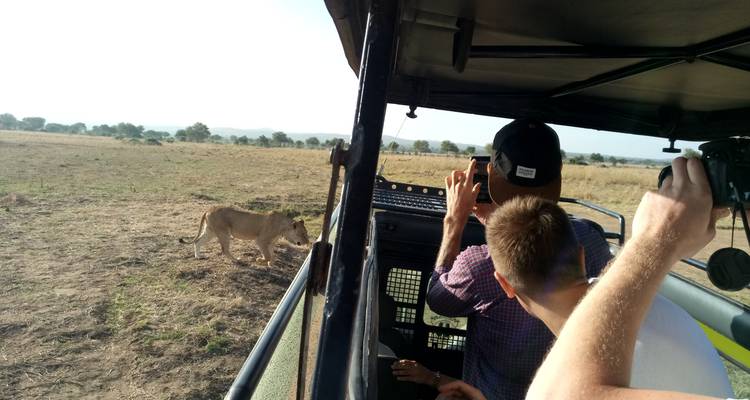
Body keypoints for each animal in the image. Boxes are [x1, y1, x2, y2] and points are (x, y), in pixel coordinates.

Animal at [179, 206, 309, 266]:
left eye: (306, 233)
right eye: (302, 234)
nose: (307, 242)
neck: (283, 228)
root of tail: (209, 209)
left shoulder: (271, 243)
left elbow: (272, 255)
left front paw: (270, 264)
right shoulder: (261, 241)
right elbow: (267, 255)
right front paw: (260, 260)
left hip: (210, 231)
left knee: (198, 241)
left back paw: (198, 256)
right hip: (224, 232)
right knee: (224, 250)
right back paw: (236, 260)